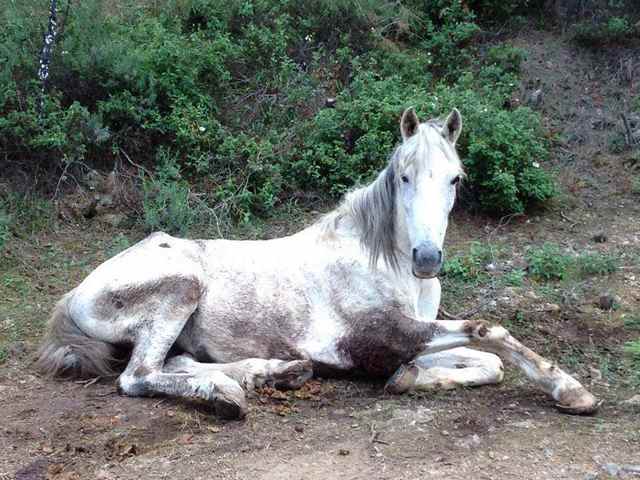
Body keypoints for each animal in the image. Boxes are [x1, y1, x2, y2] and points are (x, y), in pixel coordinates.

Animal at [36, 107, 600, 418]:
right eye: (404, 176)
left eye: (455, 178)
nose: (426, 258)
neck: (384, 263)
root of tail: (75, 294)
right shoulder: (380, 337)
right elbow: (491, 334)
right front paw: (572, 391)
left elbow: (488, 363)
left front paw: (408, 377)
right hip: (181, 288)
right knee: (138, 376)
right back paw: (227, 395)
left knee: (175, 363)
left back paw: (274, 373)